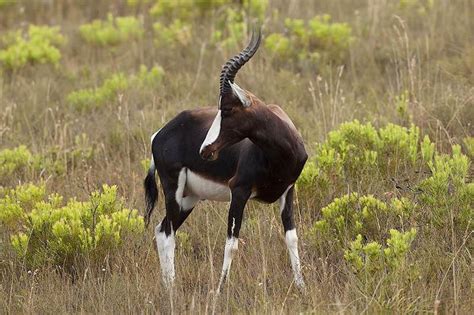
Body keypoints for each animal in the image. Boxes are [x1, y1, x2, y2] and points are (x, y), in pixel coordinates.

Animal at [143, 30, 308, 292]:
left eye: (228, 109)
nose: (205, 150)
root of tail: (159, 134)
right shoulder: (239, 192)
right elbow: (232, 243)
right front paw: (220, 289)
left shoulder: (288, 192)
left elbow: (291, 237)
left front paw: (302, 287)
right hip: (174, 191)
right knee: (168, 233)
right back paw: (172, 289)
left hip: (190, 198)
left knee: (161, 229)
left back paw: (169, 285)